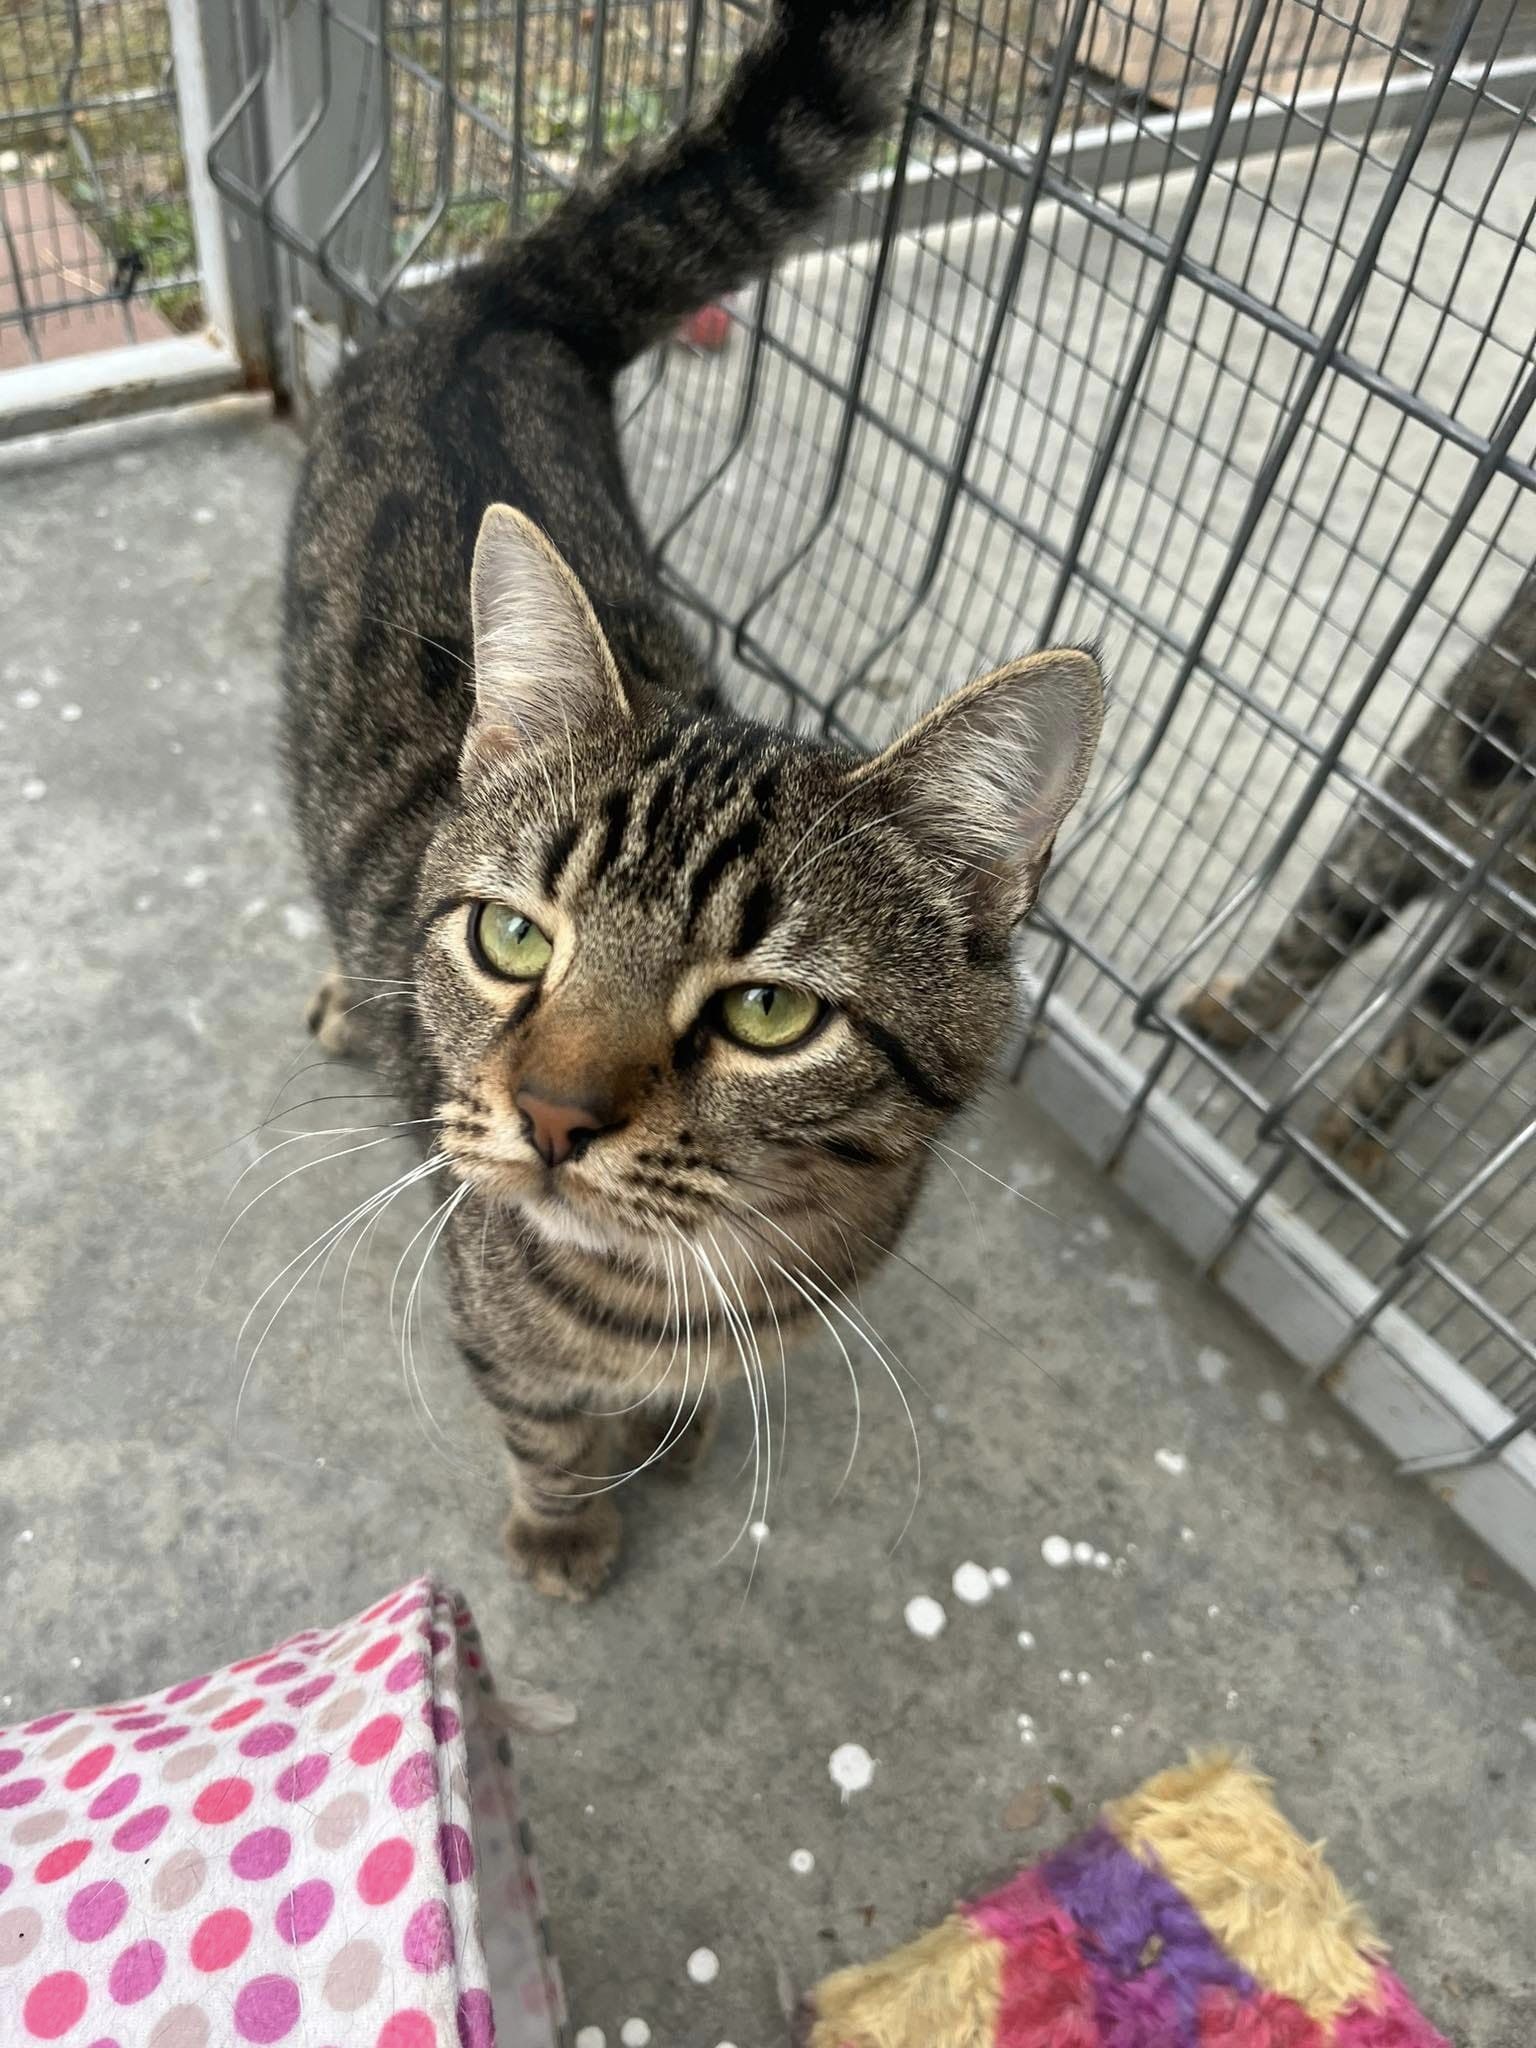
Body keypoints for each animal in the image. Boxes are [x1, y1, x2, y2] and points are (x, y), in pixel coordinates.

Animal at [281, 0, 1104, 1598]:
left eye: (768, 1013)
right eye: (513, 938)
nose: (547, 1118)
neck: (690, 1281)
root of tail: (494, 305)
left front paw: (676, 1428)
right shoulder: (499, 1327)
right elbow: (543, 1417)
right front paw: (569, 1524)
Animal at [1180, 568, 1536, 1183]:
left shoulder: (1516, 969)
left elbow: (1425, 1050)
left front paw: (1352, 1139)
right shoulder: (1401, 820)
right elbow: (1313, 936)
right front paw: (1237, 1015)